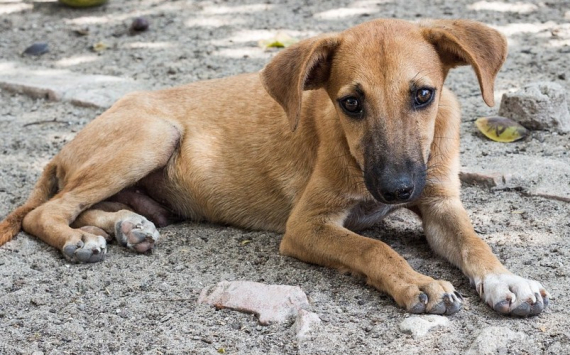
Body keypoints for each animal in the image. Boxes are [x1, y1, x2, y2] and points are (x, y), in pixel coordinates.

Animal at [1, 19, 552, 318]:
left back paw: (127, 226)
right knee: (47, 211)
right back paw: (80, 240)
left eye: (423, 94)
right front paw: (418, 283)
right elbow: (372, 247)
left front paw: (507, 281)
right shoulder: (306, 226)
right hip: (152, 135)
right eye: (351, 103)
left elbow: (475, 243)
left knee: (90, 206)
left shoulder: (439, 203)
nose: (396, 189)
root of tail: (61, 150)